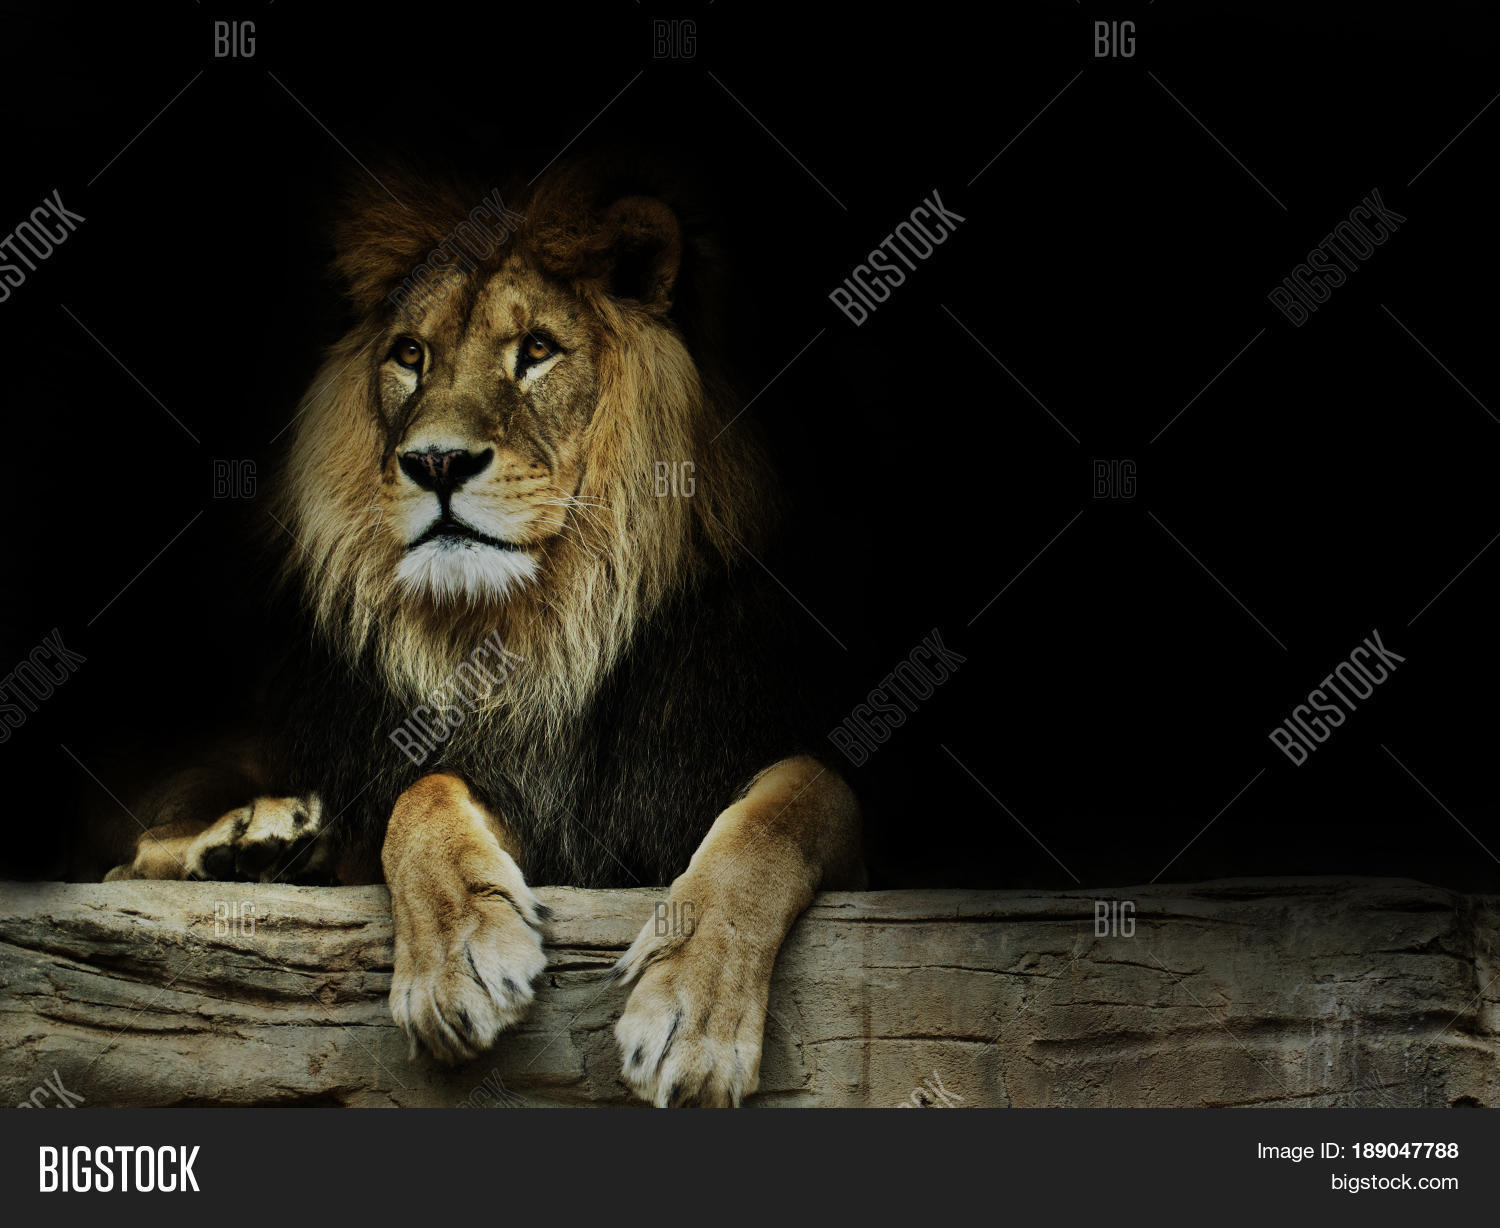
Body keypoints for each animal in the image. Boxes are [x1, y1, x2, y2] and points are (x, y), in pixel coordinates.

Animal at [102, 157, 864, 1108]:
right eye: (410, 355)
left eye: (535, 350)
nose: (436, 461)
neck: (546, 629)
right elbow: (420, 793)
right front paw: (456, 962)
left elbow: (793, 802)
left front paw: (692, 1012)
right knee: (126, 859)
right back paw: (253, 844)